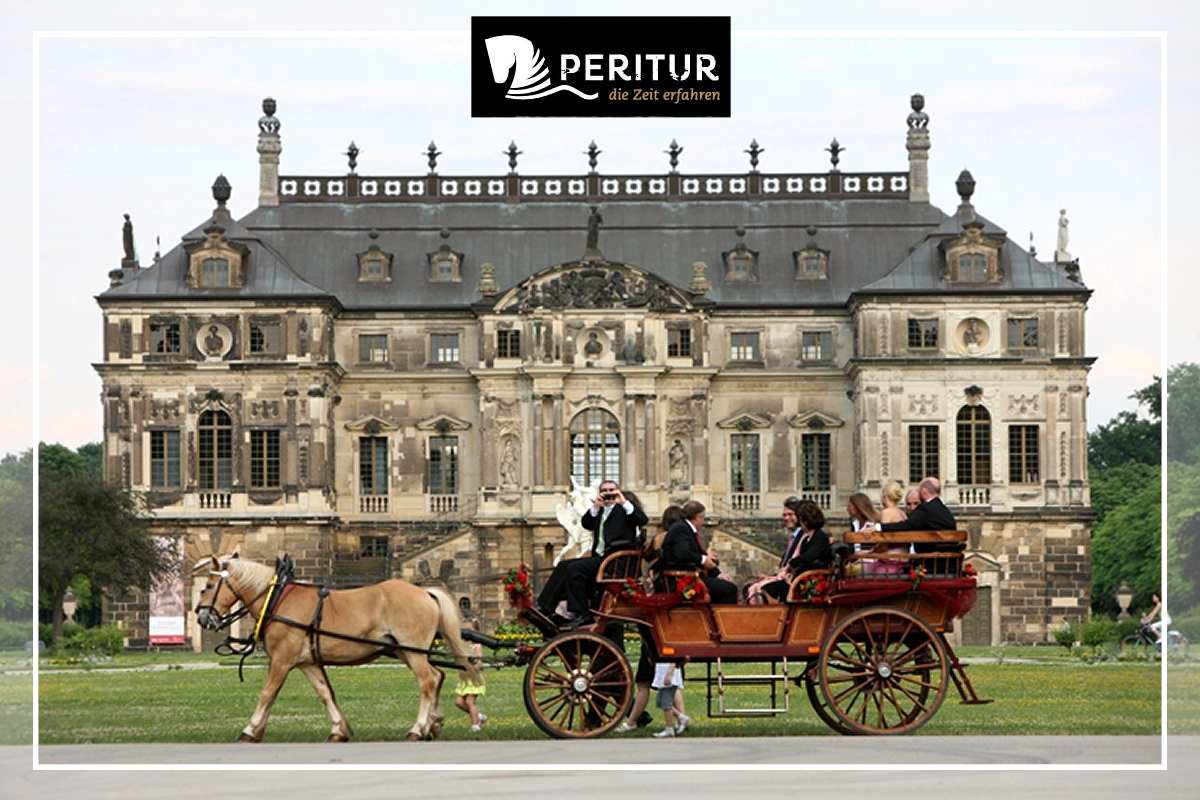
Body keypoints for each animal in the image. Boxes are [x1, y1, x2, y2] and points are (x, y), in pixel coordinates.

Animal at [194, 554, 480, 743]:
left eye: (207, 587)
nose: (202, 617)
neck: (277, 598)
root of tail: (425, 592)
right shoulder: (308, 662)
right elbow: (325, 693)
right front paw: (339, 729)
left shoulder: (282, 660)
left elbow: (267, 693)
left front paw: (251, 729)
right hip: (406, 651)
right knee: (438, 676)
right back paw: (433, 723)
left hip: (413, 651)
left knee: (428, 680)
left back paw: (418, 728)